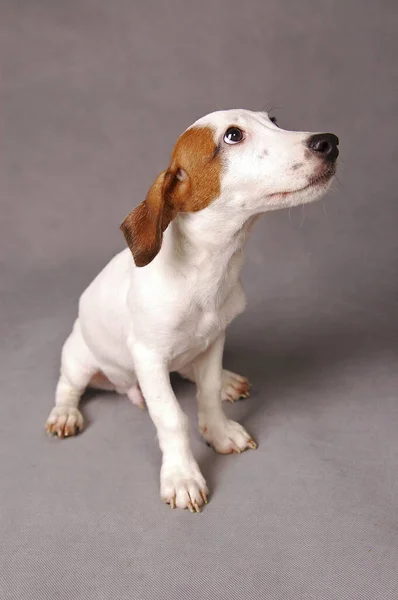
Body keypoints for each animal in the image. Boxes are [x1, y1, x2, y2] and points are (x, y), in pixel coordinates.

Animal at [45, 108, 338, 510]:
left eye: (274, 120)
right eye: (233, 136)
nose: (330, 142)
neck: (208, 269)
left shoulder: (215, 339)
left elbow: (208, 391)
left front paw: (219, 430)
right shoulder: (149, 358)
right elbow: (172, 418)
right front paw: (182, 475)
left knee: (190, 371)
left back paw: (227, 380)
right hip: (79, 356)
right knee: (69, 386)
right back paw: (65, 413)